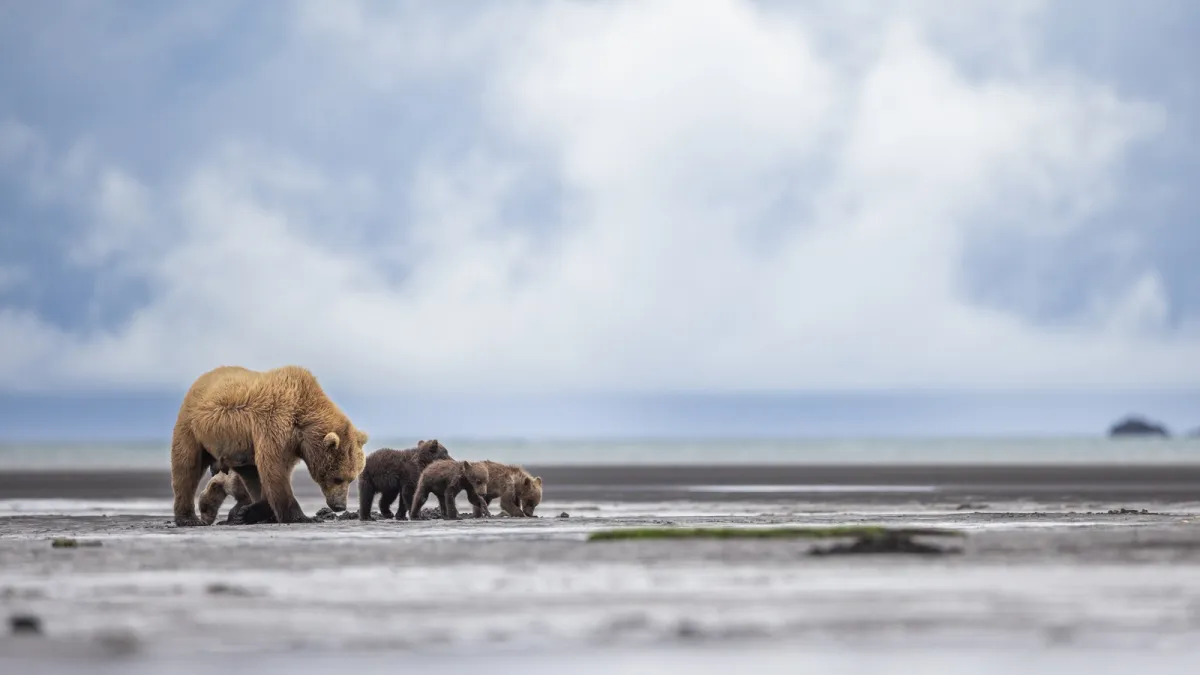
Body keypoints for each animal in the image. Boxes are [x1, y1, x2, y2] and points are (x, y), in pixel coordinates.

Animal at [166, 362, 367, 526]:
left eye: (352, 478)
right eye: (338, 478)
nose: (340, 506)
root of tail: (200, 379)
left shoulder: (291, 444)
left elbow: (270, 475)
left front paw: (248, 512)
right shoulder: (275, 424)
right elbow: (274, 469)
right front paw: (302, 517)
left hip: (238, 447)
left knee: (250, 475)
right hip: (193, 427)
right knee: (186, 467)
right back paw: (188, 519)